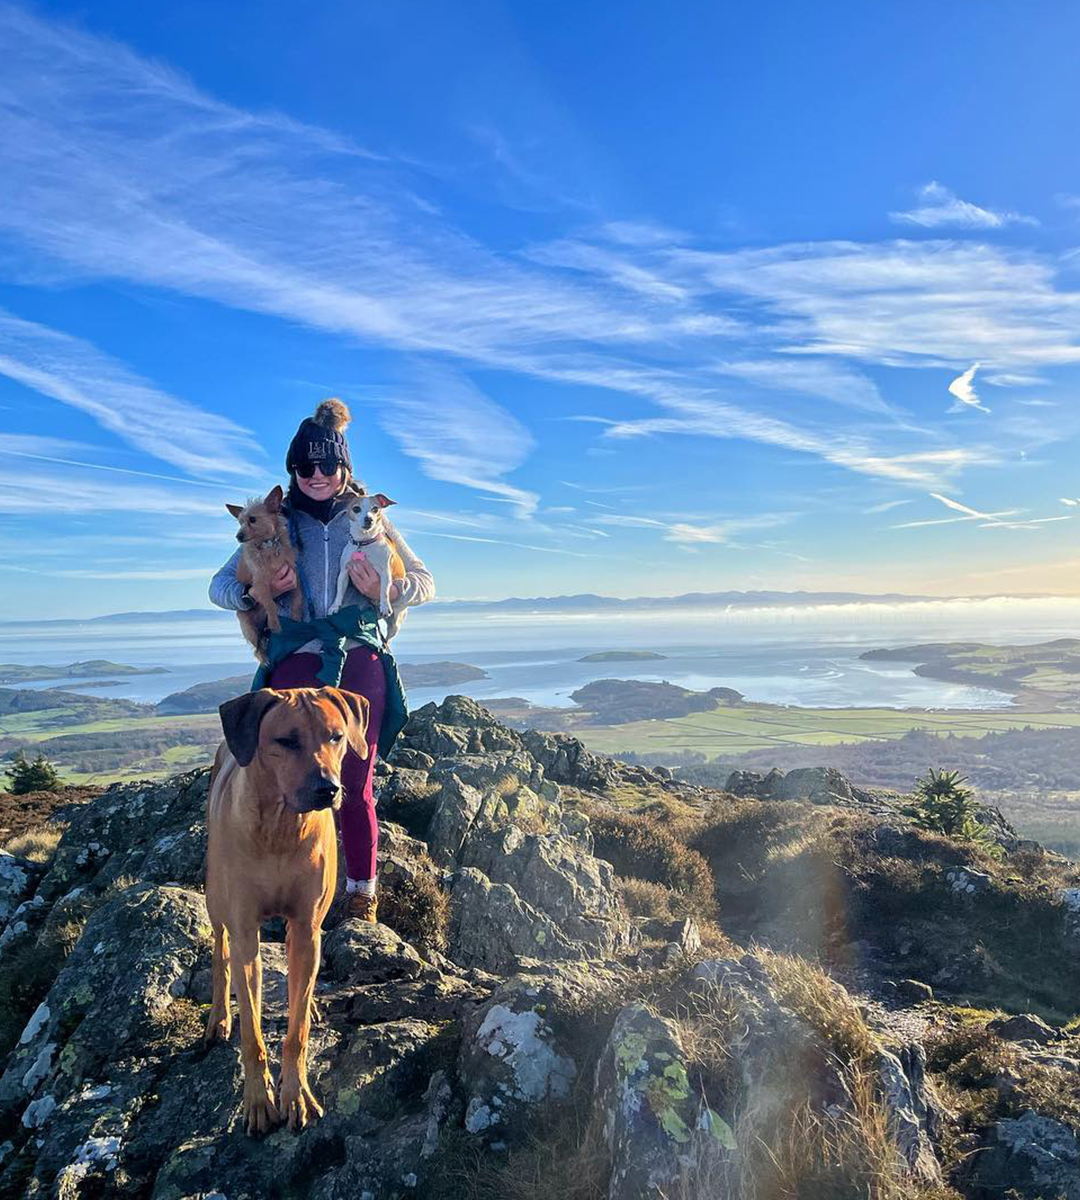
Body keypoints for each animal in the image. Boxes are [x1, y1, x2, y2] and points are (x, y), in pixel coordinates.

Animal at [205, 686, 369, 1132]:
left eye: (336, 736)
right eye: (285, 741)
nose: (328, 789)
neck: (280, 828)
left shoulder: (307, 922)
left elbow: (296, 1033)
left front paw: (295, 1095)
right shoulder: (245, 932)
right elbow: (252, 1030)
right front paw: (258, 1100)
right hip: (214, 900)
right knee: (219, 954)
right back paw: (218, 1016)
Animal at [226, 482, 306, 662]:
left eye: (252, 519)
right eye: (240, 522)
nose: (238, 536)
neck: (269, 545)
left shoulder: (294, 577)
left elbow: (298, 599)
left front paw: (296, 617)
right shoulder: (261, 585)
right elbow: (270, 604)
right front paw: (276, 624)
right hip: (245, 622)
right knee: (257, 647)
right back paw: (265, 657)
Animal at [326, 489, 408, 638]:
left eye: (375, 509)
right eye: (356, 509)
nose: (369, 519)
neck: (364, 543)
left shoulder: (385, 573)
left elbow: (384, 590)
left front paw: (385, 606)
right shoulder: (344, 573)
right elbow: (339, 591)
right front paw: (334, 606)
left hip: (395, 624)